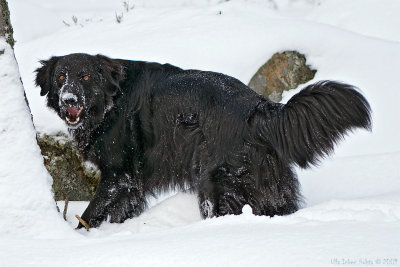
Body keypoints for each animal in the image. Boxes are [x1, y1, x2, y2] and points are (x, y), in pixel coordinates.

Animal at [35, 53, 372, 229]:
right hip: (266, 182)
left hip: (215, 182)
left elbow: (91, 213)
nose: (68, 100)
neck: (110, 101)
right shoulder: (131, 183)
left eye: (86, 77)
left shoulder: (119, 175)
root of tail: (257, 108)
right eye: (61, 77)